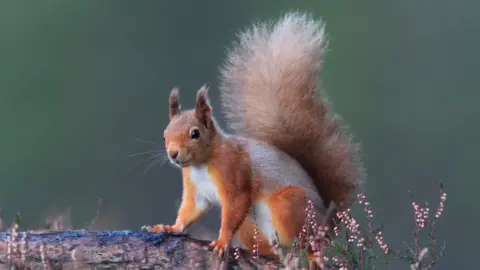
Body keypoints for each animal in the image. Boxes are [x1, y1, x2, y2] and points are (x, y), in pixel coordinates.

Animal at [142, 12, 364, 256]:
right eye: (164, 135)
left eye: (195, 133)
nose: (173, 154)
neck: (203, 163)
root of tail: (325, 226)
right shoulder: (195, 189)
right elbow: (190, 211)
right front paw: (169, 227)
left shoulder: (234, 171)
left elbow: (235, 205)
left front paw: (222, 242)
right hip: (251, 225)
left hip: (289, 204)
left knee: (302, 243)